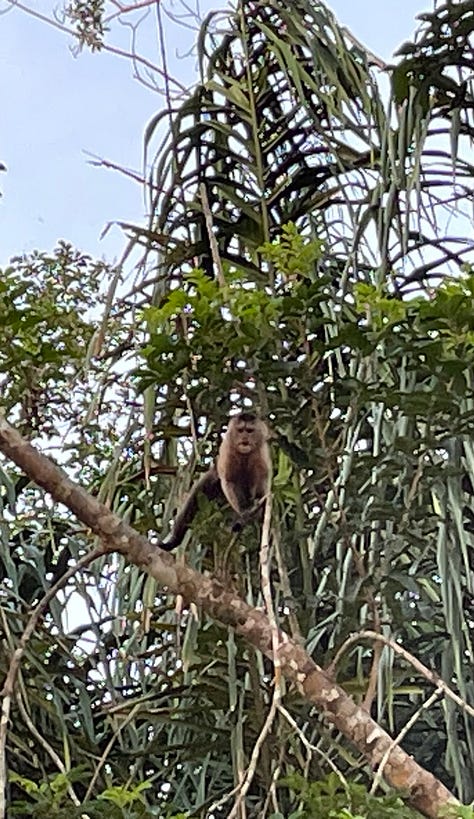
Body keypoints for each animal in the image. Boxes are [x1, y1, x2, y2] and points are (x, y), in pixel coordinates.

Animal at [158, 413, 271, 551]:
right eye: (240, 431)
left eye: (249, 431)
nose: (244, 438)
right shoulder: (228, 449)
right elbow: (229, 481)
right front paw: (244, 511)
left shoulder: (261, 452)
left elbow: (263, 483)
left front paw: (259, 507)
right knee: (192, 502)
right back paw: (173, 541)